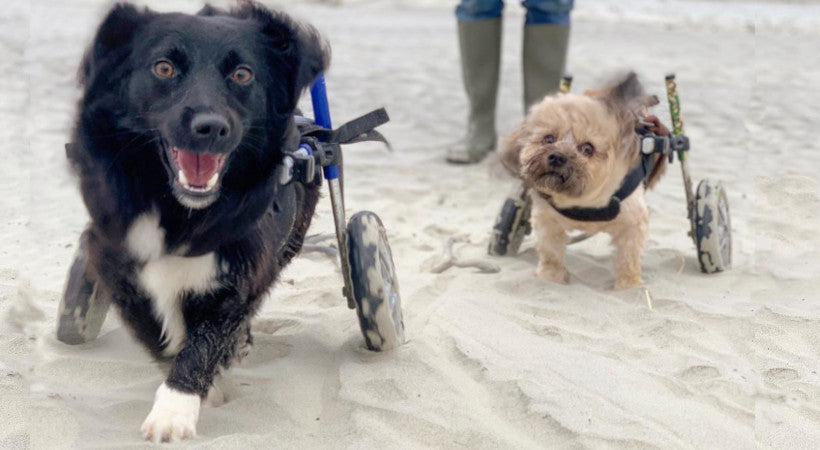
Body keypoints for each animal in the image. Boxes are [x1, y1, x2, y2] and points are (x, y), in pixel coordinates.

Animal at [65, 1, 326, 442]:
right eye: (164, 68)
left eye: (242, 74)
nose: (211, 128)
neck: (181, 213)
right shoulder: (115, 261)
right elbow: (158, 333)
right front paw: (200, 384)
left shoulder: (244, 271)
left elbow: (205, 341)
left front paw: (175, 410)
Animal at [502, 73, 668, 288]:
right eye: (549, 138)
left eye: (587, 148)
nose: (557, 157)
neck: (583, 200)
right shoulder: (546, 222)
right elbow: (551, 254)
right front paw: (550, 278)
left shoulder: (633, 225)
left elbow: (628, 259)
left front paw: (629, 286)